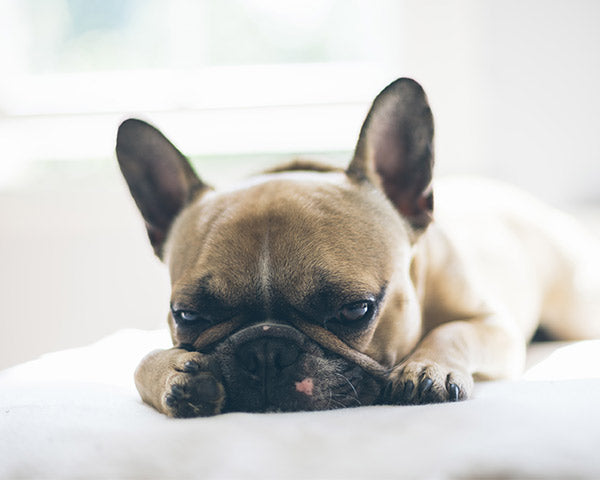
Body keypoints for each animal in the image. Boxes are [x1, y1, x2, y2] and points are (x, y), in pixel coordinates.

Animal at [115, 79, 596, 416]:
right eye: (188, 315)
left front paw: (426, 367)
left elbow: (453, 330)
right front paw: (171, 375)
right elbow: (139, 361)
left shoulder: (494, 325)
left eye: (355, 310)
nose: (266, 351)